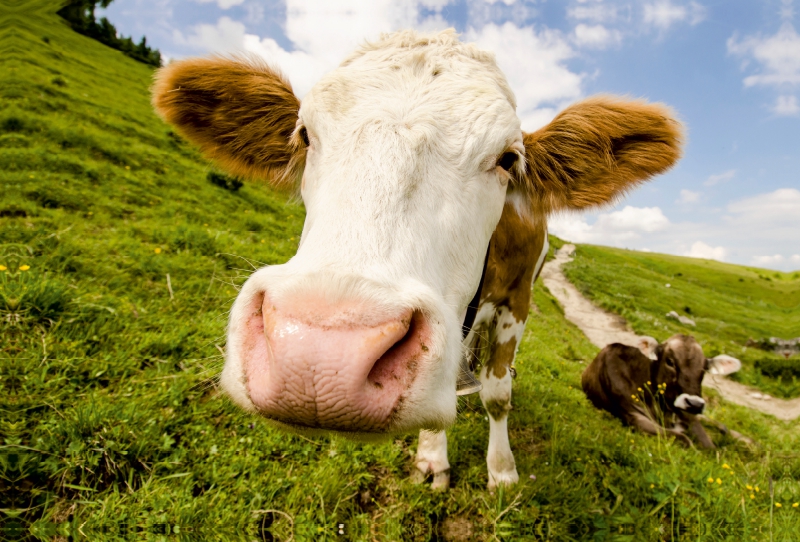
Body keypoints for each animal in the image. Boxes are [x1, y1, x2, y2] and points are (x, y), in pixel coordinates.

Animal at [155, 29, 680, 492]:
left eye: (508, 159)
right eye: (303, 135)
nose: (318, 357)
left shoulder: (518, 299)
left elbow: (497, 394)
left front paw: (502, 472)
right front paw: (432, 458)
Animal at [580, 336, 744, 450]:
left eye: (704, 368)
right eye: (670, 361)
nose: (695, 403)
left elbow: (711, 447)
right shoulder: (633, 416)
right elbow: (684, 439)